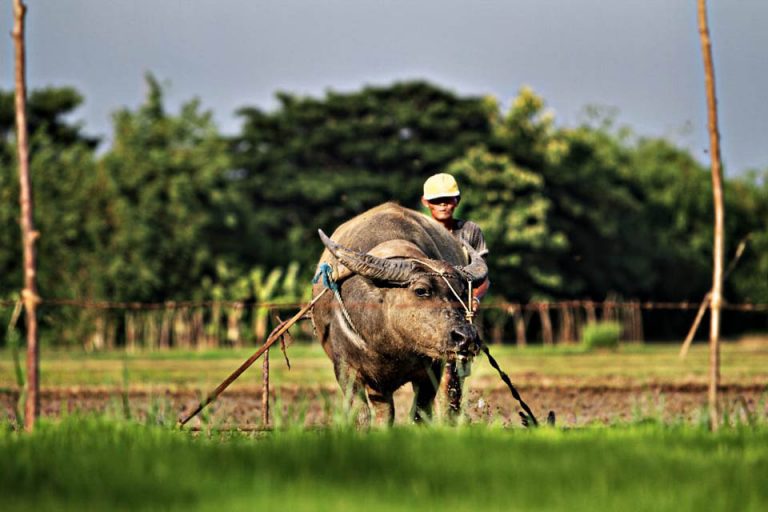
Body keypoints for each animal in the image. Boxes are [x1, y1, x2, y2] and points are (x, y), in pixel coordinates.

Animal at [310, 203, 486, 424]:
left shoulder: (432, 370)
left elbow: (420, 413)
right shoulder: (346, 369)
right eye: (421, 290)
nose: (466, 337)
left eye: (462, 292)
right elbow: (362, 416)